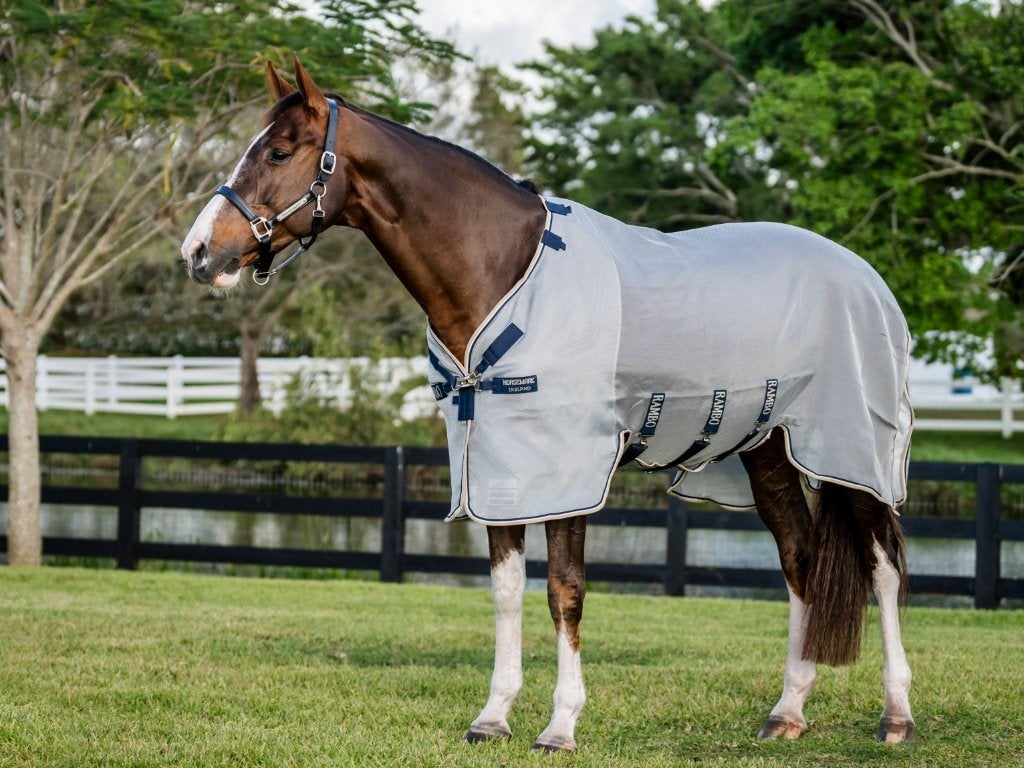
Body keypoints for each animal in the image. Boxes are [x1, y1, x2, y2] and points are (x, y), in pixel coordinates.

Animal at [181, 58, 916, 752]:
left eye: (280, 152)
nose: (198, 253)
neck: (501, 269)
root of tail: (865, 276)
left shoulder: (568, 472)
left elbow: (566, 591)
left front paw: (560, 726)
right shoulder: (495, 466)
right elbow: (508, 591)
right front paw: (492, 717)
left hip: (856, 453)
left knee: (882, 568)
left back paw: (896, 715)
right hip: (767, 451)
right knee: (800, 562)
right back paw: (787, 711)